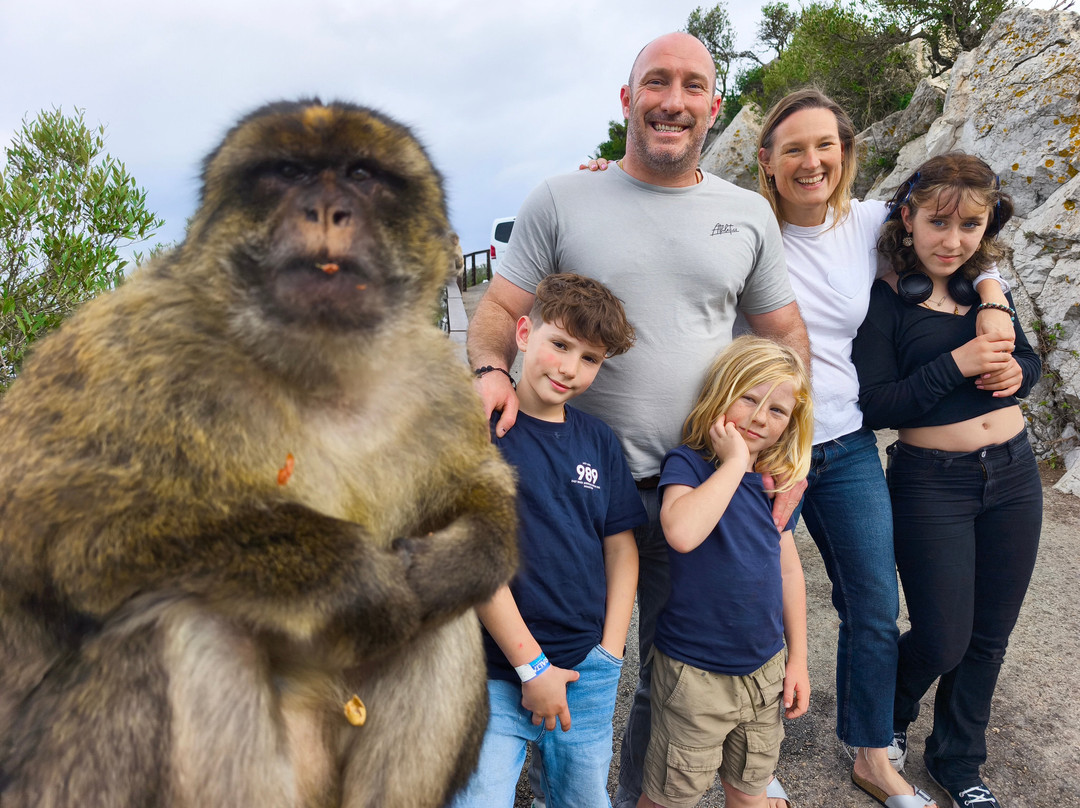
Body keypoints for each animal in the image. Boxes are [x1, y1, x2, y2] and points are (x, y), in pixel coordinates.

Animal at [0, 99, 518, 808]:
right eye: (287, 172)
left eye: (362, 174)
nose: (326, 209)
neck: (319, 370)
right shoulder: (128, 346)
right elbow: (62, 530)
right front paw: (352, 579)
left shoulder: (435, 379)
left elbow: (479, 487)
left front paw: (456, 562)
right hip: (50, 774)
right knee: (186, 625)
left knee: (441, 625)